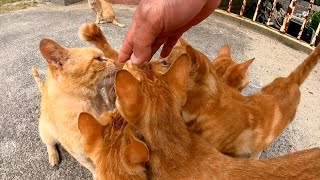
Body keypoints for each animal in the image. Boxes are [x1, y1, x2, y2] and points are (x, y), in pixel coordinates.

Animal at [31, 38, 116, 179]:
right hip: (46, 131)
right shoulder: (79, 154)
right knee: (49, 143)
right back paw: (53, 156)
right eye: (98, 59)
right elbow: (93, 166)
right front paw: (98, 175)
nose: (114, 61)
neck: (89, 104)